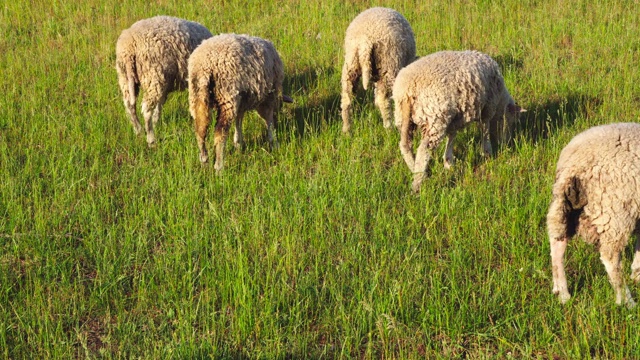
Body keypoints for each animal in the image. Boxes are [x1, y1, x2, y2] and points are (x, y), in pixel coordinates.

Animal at [116, 15, 214, 145]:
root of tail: (130, 45)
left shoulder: (166, 84)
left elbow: (160, 105)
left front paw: (157, 122)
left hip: (126, 78)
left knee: (129, 106)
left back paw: (139, 131)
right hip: (153, 75)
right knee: (146, 110)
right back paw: (151, 139)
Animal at [189, 33, 292, 172]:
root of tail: (205, 66)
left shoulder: (242, 100)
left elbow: (239, 120)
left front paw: (238, 143)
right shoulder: (268, 97)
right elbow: (268, 120)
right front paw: (274, 142)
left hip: (197, 97)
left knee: (200, 131)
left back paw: (204, 161)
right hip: (226, 96)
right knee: (220, 133)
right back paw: (219, 167)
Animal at [392, 50, 528, 193]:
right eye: (513, 122)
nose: (508, 143)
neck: (501, 101)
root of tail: (408, 90)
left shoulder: (455, 118)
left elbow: (452, 136)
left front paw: (448, 162)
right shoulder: (487, 106)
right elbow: (484, 127)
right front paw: (487, 151)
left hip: (403, 117)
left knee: (405, 145)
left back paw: (414, 168)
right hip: (434, 118)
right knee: (423, 150)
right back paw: (418, 183)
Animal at [544, 122, 640, 308]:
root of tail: (574, 163)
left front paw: (637, 274)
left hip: (564, 207)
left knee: (557, 245)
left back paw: (562, 293)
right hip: (614, 212)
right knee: (610, 258)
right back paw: (626, 301)